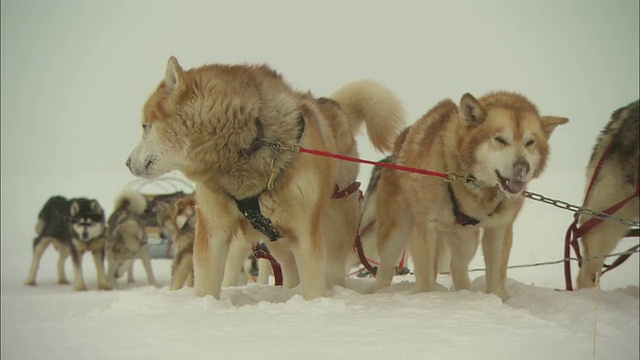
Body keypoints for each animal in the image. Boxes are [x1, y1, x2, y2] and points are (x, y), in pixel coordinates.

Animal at [125, 57, 404, 300]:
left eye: (145, 126)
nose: (127, 162)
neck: (249, 143)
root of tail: (331, 106)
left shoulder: (305, 231)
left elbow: (314, 282)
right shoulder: (213, 229)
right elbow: (206, 281)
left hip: (334, 226)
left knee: (333, 268)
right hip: (275, 238)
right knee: (289, 270)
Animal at [372, 91, 568, 300]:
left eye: (530, 142)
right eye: (500, 139)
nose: (523, 167)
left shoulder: (499, 229)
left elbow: (497, 277)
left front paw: (499, 300)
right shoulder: (425, 228)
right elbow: (424, 279)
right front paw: (427, 299)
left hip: (466, 241)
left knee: (458, 266)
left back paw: (464, 293)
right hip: (395, 234)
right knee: (385, 269)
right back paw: (379, 291)